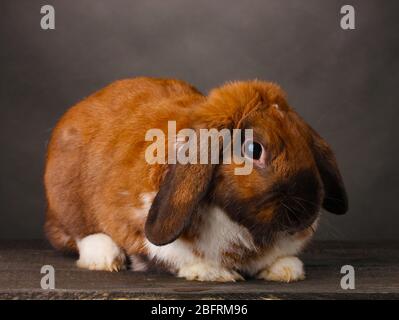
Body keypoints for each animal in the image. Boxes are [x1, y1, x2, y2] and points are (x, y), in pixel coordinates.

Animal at [45, 77, 348, 282]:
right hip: (67, 200)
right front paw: (214, 273)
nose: (306, 214)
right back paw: (105, 257)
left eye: (305, 142)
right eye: (254, 150)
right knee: (77, 233)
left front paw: (286, 269)